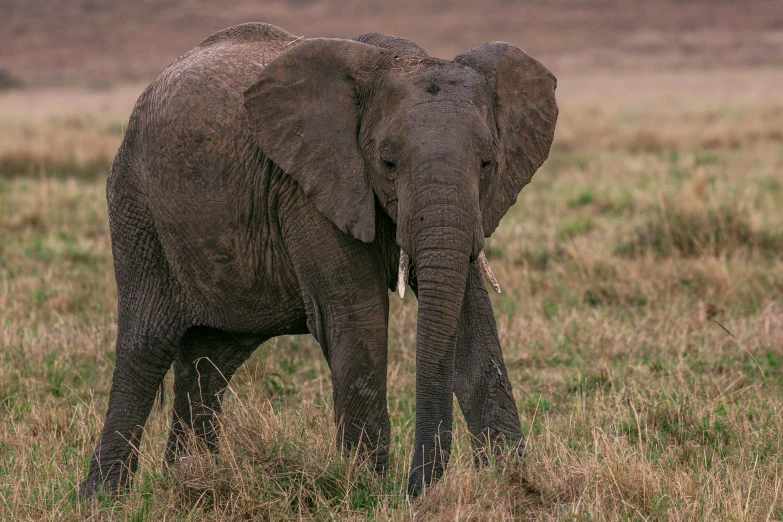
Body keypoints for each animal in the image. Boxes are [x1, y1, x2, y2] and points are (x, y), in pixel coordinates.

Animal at [79, 21, 556, 496]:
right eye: (387, 163)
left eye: (487, 163)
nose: (418, 486)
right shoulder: (307, 188)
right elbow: (358, 316)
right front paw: (367, 491)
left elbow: (471, 314)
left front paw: (511, 481)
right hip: (137, 210)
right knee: (145, 348)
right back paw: (105, 499)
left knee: (210, 359)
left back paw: (188, 479)